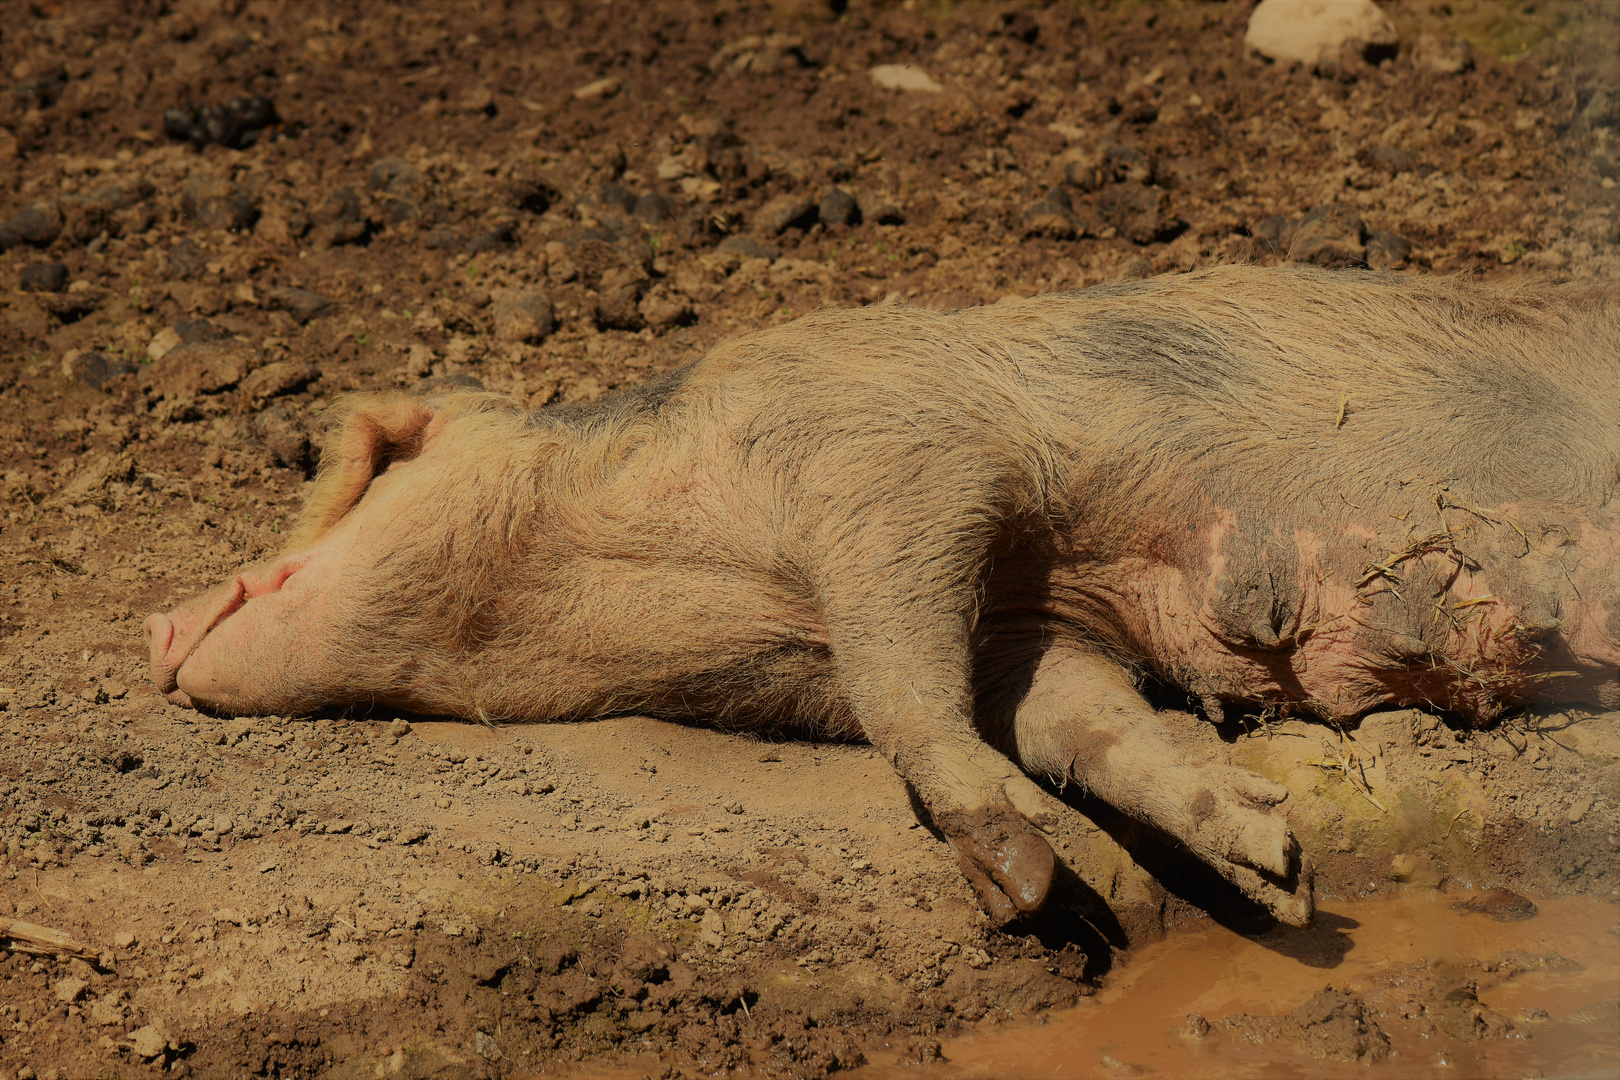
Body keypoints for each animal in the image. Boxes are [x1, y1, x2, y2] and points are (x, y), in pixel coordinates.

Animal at [142, 268, 1620, 932]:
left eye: (350, 474)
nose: (149, 625)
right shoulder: (1034, 628)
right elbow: (1084, 725)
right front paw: (1274, 874)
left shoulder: (898, 459)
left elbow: (905, 678)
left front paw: (1021, 886)